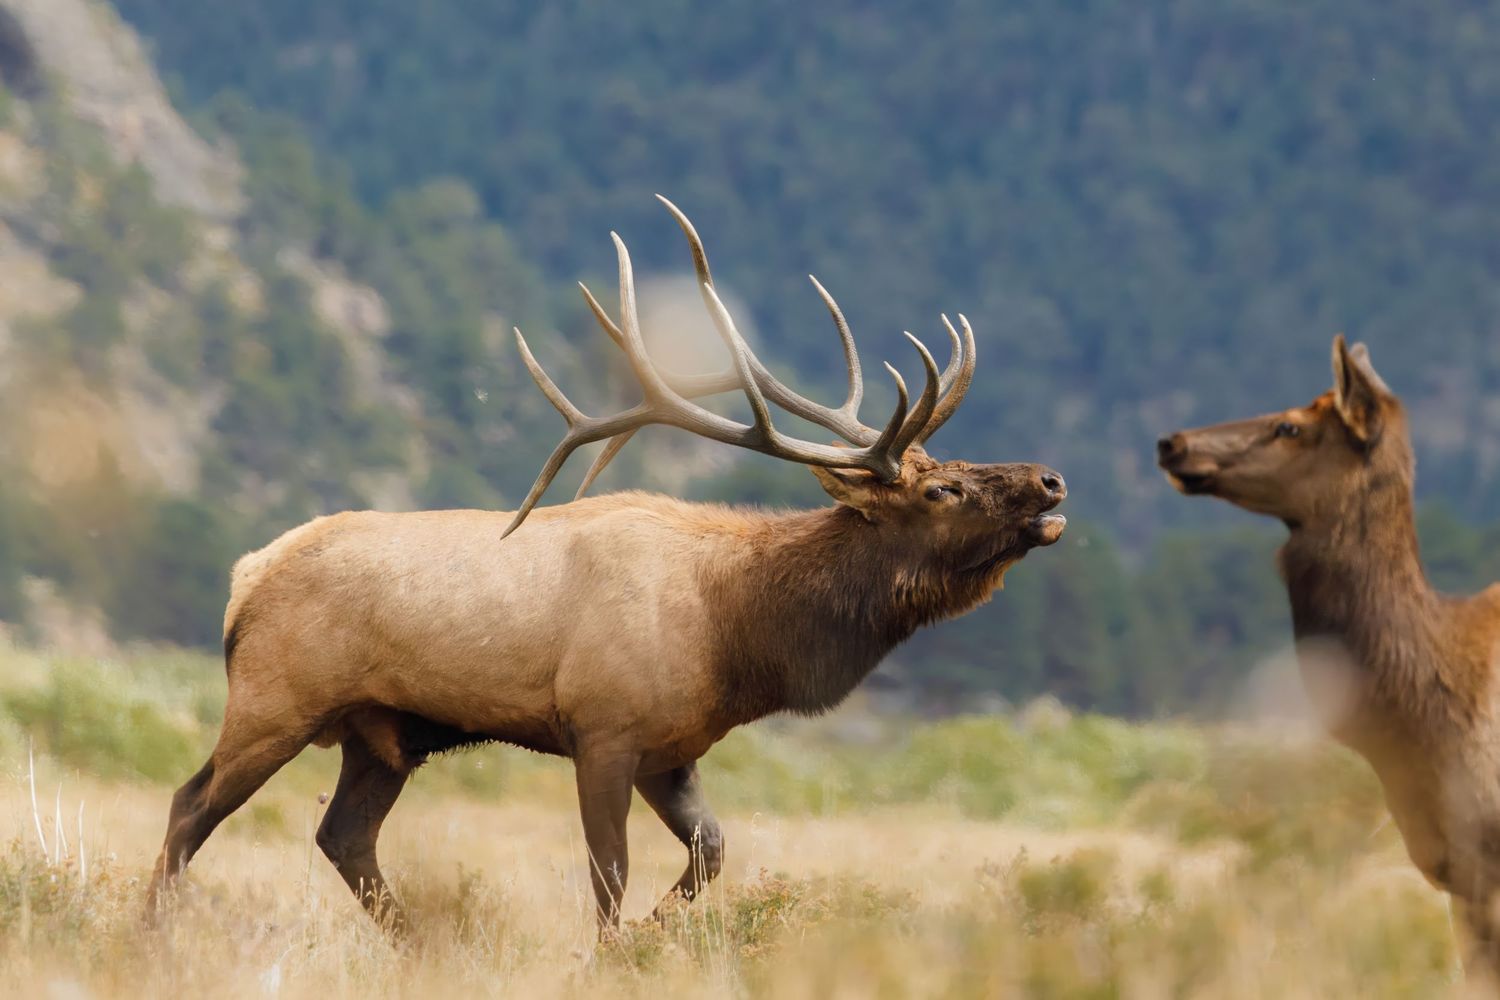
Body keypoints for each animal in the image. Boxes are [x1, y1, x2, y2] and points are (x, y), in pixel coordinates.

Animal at [147, 196, 1069, 934]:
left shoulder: (675, 747)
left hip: (382, 736)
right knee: (191, 804)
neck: (736, 635)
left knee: (344, 837)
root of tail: (245, 577)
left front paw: (652, 941)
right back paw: (153, 932)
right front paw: (610, 952)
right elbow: (609, 876)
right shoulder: (604, 728)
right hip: (276, 700)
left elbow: (712, 853)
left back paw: (417, 947)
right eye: (943, 487)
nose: (1051, 479)